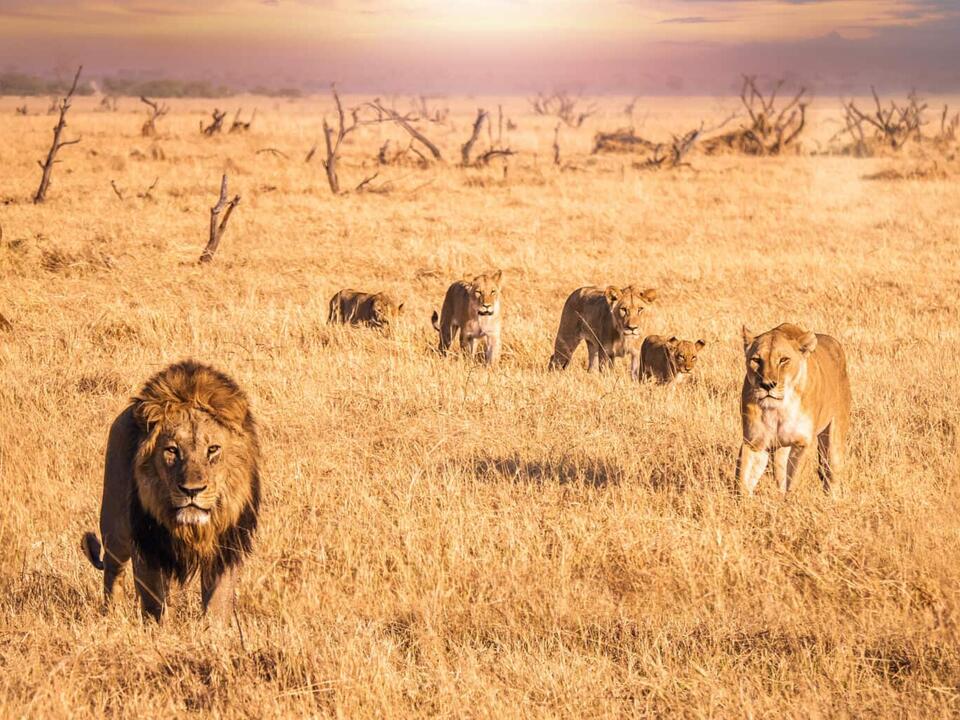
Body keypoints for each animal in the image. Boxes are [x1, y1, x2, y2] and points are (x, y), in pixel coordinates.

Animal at [81, 360, 261, 622]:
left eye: (213, 449)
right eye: (172, 450)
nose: (192, 491)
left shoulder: (225, 545)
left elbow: (217, 602)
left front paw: (214, 630)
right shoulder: (147, 544)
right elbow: (154, 601)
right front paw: (158, 628)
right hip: (115, 527)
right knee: (113, 570)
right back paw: (112, 614)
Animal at [736, 323, 851, 496]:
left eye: (784, 360)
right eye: (756, 360)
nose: (767, 385)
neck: (778, 410)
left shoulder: (801, 443)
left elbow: (793, 481)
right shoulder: (754, 442)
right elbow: (743, 480)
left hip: (834, 440)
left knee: (831, 473)